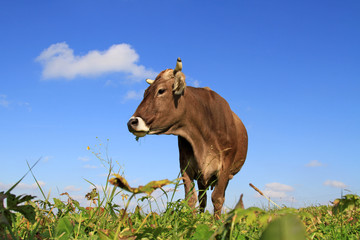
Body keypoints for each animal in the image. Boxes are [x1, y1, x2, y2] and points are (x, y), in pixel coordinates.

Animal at [126, 58, 248, 218]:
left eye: (161, 91)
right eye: (145, 93)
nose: (131, 122)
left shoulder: (225, 167)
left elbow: (218, 198)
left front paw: (216, 223)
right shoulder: (185, 165)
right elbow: (191, 198)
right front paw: (192, 221)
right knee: (203, 198)